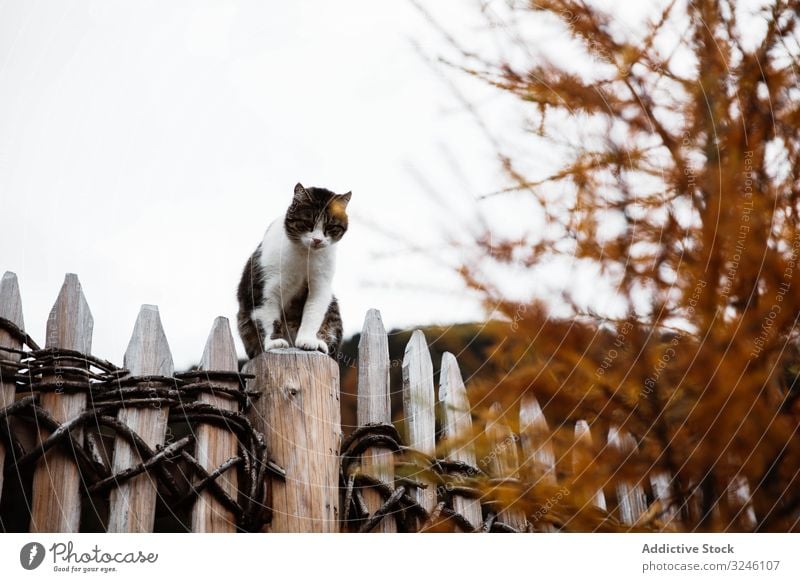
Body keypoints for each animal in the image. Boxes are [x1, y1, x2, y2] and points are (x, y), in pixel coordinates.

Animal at [236, 185, 352, 360]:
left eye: (330, 227)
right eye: (308, 223)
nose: (317, 240)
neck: (305, 255)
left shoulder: (321, 286)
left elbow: (313, 314)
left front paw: (307, 341)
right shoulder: (264, 286)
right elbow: (268, 316)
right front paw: (274, 342)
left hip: (332, 307)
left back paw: (320, 343)